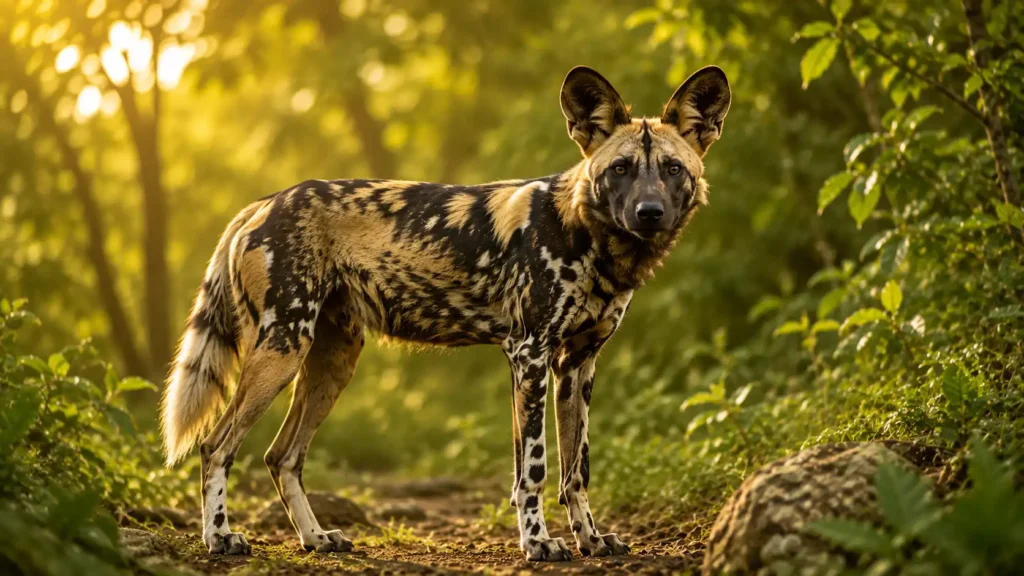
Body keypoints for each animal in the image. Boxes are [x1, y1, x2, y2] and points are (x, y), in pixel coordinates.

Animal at [161, 65, 731, 562]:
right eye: (620, 170)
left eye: (673, 169)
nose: (649, 213)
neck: (587, 234)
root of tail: (264, 202)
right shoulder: (529, 355)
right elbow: (534, 469)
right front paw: (538, 544)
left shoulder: (577, 365)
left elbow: (577, 470)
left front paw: (591, 540)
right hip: (281, 349)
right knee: (216, 446)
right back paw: (220, 538)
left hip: (331, 362)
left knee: (281, 456)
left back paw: (316, 538)